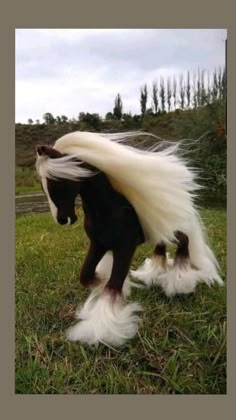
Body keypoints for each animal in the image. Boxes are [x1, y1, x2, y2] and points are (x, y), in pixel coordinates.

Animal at [35, 131, 223, 348]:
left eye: (57, 182)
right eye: (43, 187)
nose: (63, 220)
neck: (108, 209)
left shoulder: (124, 248)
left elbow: (113, 286)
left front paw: (102, 329)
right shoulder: (98, 245)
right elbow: (86, 276)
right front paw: (110, 286)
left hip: (171, 231)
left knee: (184, 242)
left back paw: (180, 283)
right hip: (157, 232)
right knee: (161, 248)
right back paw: (153, 274)